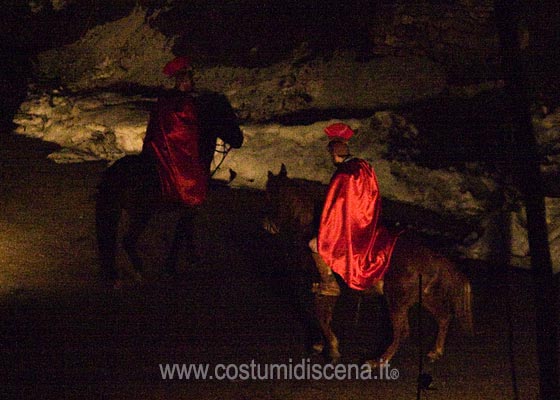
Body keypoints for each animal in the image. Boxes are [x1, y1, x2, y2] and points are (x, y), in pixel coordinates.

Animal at [95, 92, 243, 282]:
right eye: (224, 115)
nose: (240, 139)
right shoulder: (189, 208)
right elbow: (181, 231)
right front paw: (172, 266)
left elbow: (187, 230)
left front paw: (191, 257)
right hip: (141, 215)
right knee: (128, 241)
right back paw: (140, 271)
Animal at [264, 164, 472, 368]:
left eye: (270, 195)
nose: (267, 226)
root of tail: (432, 257)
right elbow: (323, 315)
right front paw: (321, 345)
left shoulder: (321, 284)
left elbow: (321, 316)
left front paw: (332, 349)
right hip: (424, 296)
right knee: (443, 316)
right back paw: (434, 352)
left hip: (396, 300)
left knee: (403, 331)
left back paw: (377, 361)